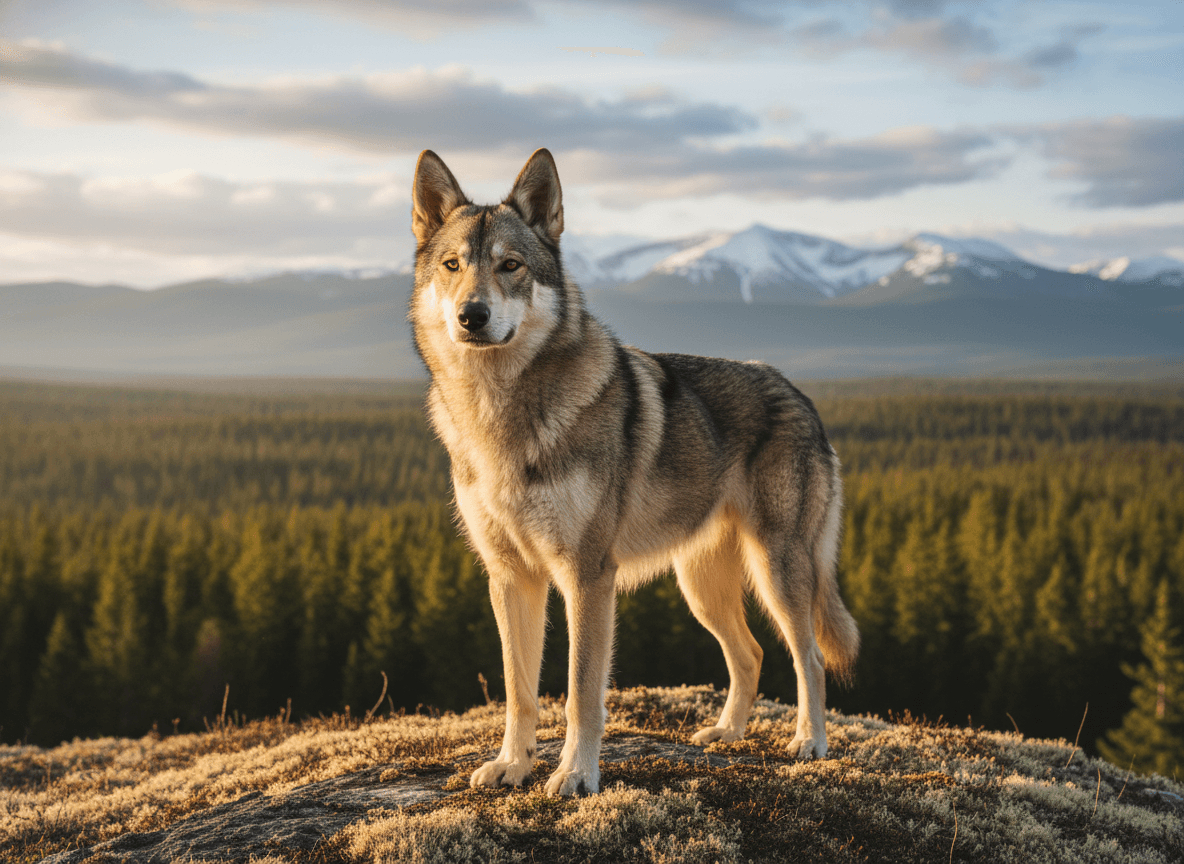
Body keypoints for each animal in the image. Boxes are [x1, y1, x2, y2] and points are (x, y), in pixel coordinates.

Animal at [409, 148, 859, 797]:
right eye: (452, 266)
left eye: (510, 266)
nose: (473, 316)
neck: (500, 413)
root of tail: (799, 394)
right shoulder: (511, 577)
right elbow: (519, 692)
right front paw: (513, 766)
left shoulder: (587, 576)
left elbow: (580, 693)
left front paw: (576, 776)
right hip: (701, 588)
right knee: (750, 654)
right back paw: (727, 734)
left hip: (779, 571)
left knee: (810, 658)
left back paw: (809, 743)